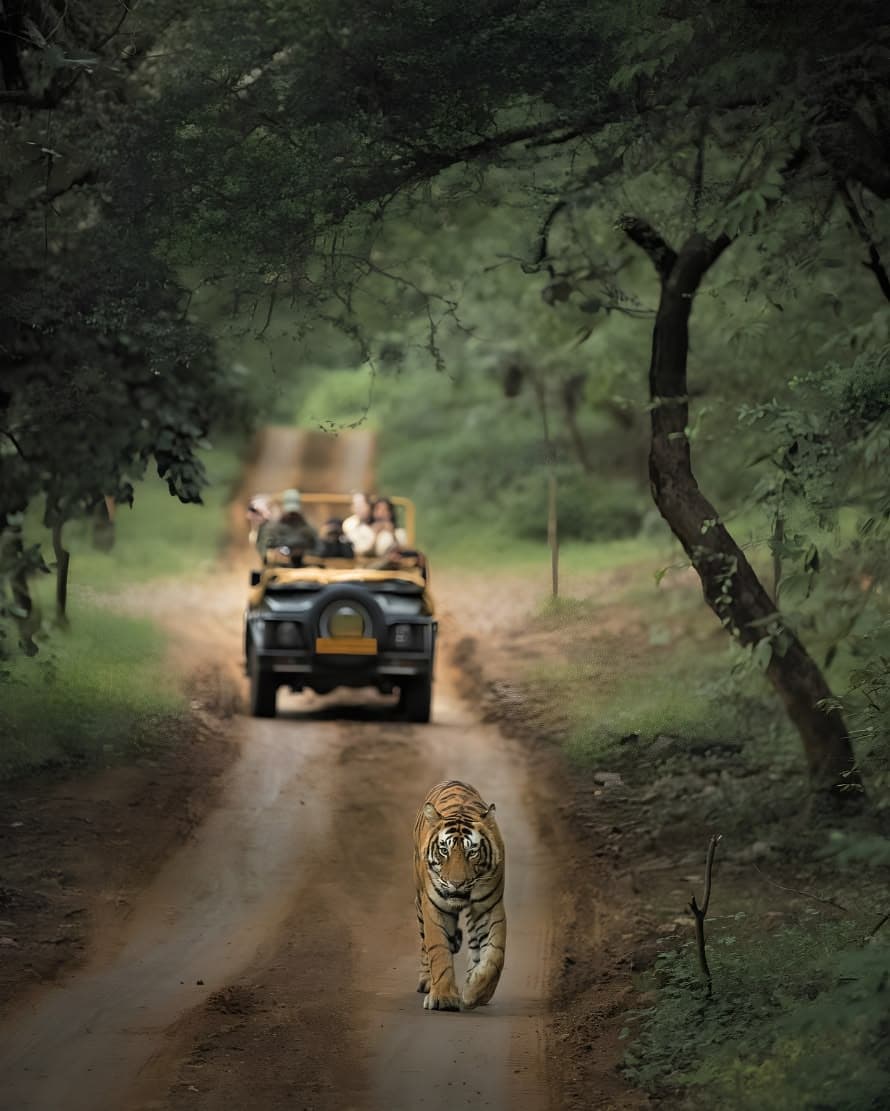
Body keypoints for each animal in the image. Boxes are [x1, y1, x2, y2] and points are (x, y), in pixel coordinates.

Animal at [413, 779, 506, 1012]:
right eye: (444, 851)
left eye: (471, 852)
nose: (457, 884)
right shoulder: (434, 907)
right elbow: (438, 949)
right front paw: (443, 997)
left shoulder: (489, 907)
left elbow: (495, 955)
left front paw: (475, 993)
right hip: (419, 902)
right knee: (424, 944)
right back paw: (426, 981)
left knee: (475, 946)